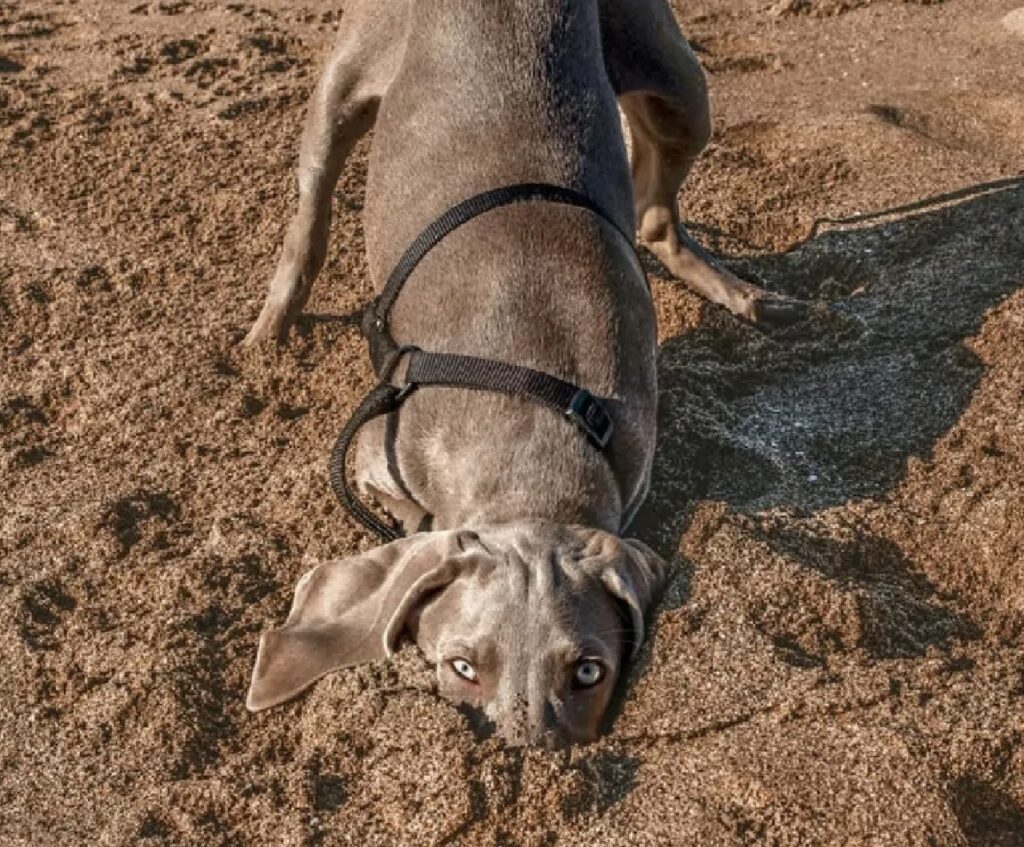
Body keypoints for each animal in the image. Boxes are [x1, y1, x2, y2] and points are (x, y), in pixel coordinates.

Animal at [243, 0, 802, 749]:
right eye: (462, 665)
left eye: (589, 671)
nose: (536, 753)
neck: (531, 434)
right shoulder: (371, 452)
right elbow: (413, 518)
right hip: (346, 82)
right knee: (309, 216)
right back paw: (268, 331)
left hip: (681, 85)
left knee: (654, 218)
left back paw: (747, 297)